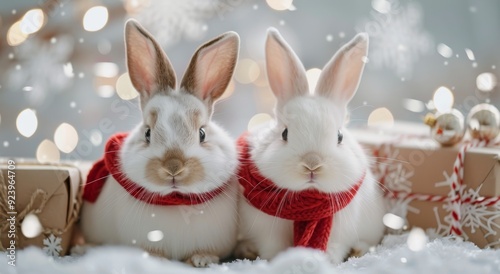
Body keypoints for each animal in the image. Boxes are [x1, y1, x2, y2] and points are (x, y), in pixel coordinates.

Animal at [78, 19, 240, 268]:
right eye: (147, 133)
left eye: (202, 133)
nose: (173, 167)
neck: (174, 201)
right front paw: (156, 259)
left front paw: (202, 259)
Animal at [235, 27, 386, 264]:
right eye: (284, 133)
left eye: (339, 137)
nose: (312, 164)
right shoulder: (267, 232)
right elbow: (272, 247)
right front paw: (275, 260)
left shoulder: (340, 231)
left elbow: (335, 246)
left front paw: (328, 261)